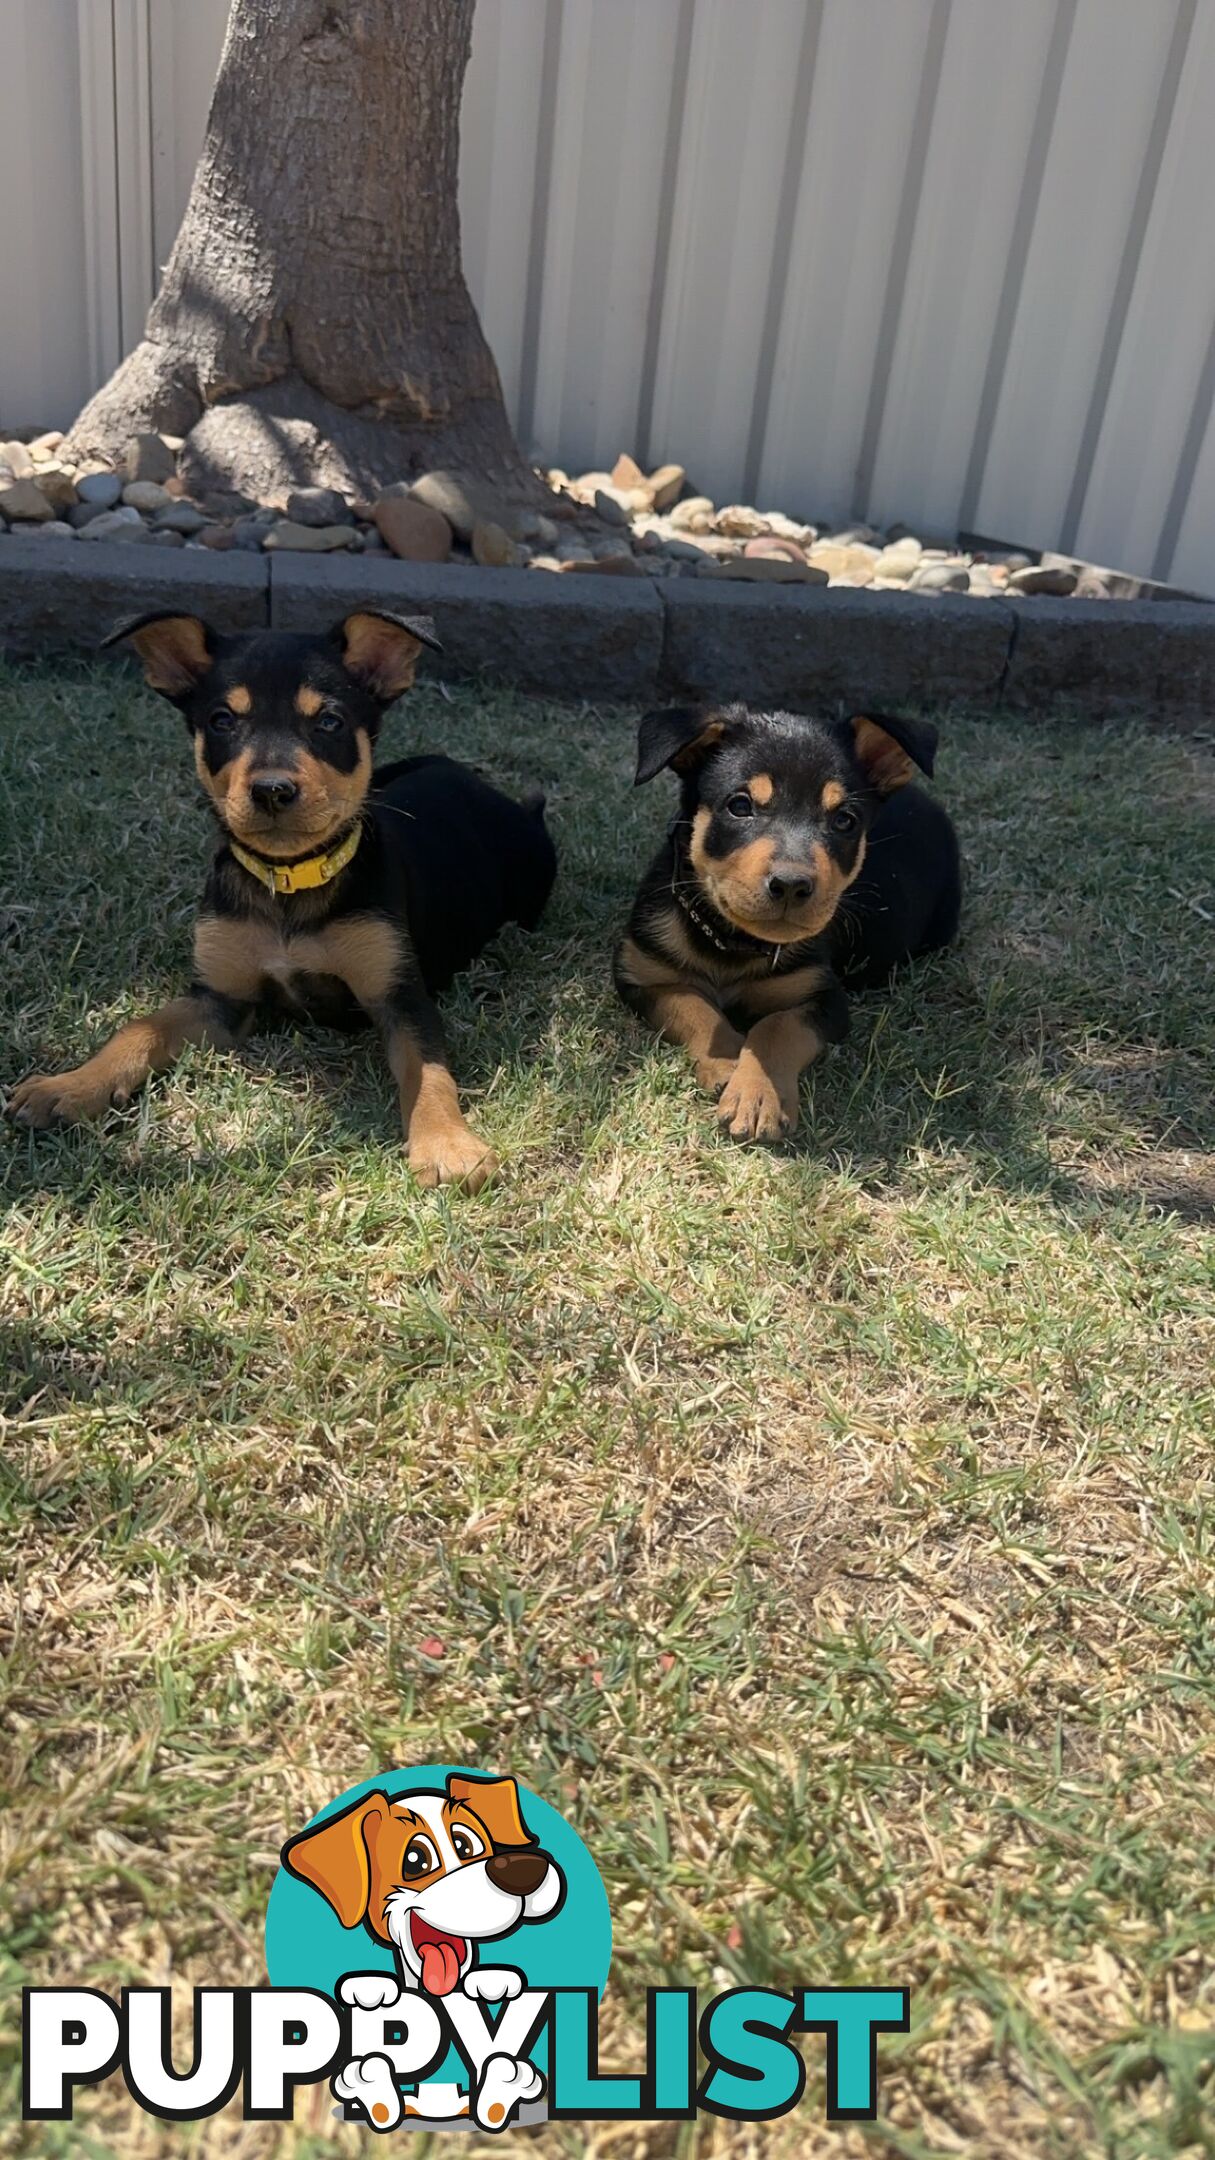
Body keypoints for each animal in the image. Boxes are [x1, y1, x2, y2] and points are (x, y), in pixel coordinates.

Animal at [7, 609, 557, 1192]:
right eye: (222, 720)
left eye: (330, 722)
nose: (271, 790)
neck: (290, 881)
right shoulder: (220, 998)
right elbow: (139, 1028)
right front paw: (67, 1087)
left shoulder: (399, 994)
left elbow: (428, 1067)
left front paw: (448, 1145)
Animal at [613, 708, 955, 1149]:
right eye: (739, 806)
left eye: (844, 820)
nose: (791, 885)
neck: (732, 943)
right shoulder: (643, 973)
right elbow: (694, 1006)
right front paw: (728, 1064)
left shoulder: (823, 997)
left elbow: (776, 1026)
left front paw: (758, 1097)